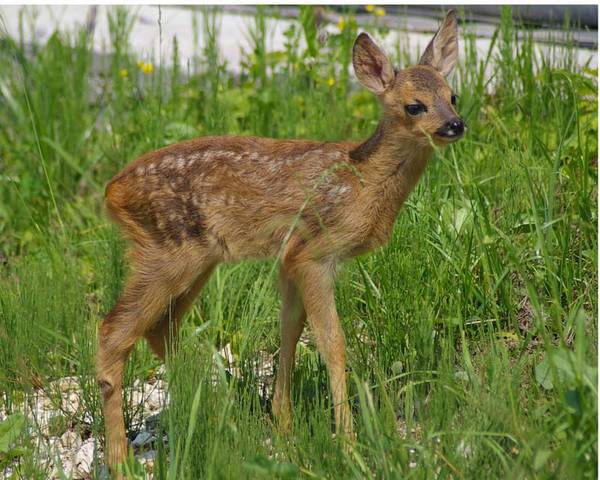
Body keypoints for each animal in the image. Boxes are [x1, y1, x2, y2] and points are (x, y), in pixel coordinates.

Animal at [98, 9, 464, 470]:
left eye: (454, 96)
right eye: (414, 106)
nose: (455, 125)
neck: (362, 182)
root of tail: (111, 192)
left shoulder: (289, 258)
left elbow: (289, 330)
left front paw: (284, 425)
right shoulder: (315, 252)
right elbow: (332, 342)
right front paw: (349, 445)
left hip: (197, 260)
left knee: (161, 329)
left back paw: (223, 421)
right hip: (167, 251)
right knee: (114, 332)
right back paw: (120, 460)